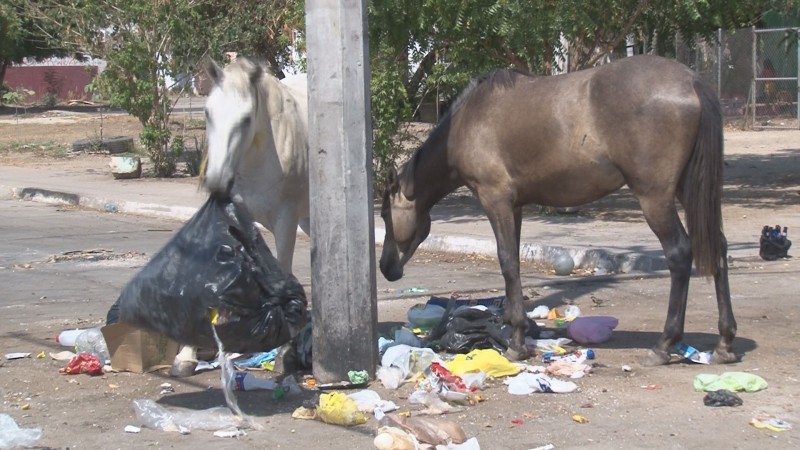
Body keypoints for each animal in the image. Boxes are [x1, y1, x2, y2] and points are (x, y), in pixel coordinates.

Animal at [169, 58, 310, 378]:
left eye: (246, 119)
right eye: (207, 112)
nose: (216, 182)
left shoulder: (286, 221)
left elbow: (283, 272)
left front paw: (284, 352)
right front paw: (186, 353)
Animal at [382, 56, 736, 366]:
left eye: (386, 214)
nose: (387, 268)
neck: (467, 122)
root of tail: (691, 81)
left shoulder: (495, 200)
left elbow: (507, 262)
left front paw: (516, 342)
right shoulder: (515, 206)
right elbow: (514, 264)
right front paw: (517, 329)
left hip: (655, 197)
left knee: (680, 253)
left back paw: (664, 345)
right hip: (688, 189)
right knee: (717, 247)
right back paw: (724, 343)